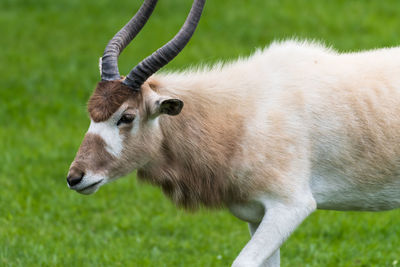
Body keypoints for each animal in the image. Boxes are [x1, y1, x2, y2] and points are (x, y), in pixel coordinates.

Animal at [67, 0, 400, 267]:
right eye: (92, 114)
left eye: (126, 116)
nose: (75, 177)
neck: (240, 112)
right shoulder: (258, 214)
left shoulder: (290, 206)